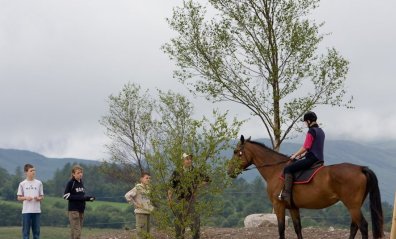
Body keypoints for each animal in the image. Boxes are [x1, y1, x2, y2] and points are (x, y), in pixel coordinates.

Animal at [227, 135, 386, 239]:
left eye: (236, 152)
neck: (276, 170)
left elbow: (281, 229)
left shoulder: (279, 206)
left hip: (352, 205)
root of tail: (360, 168)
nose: (229, 171)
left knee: (363, 226)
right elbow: (298, 229)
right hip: (355, 205)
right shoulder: (293, 207)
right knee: (354, 226)